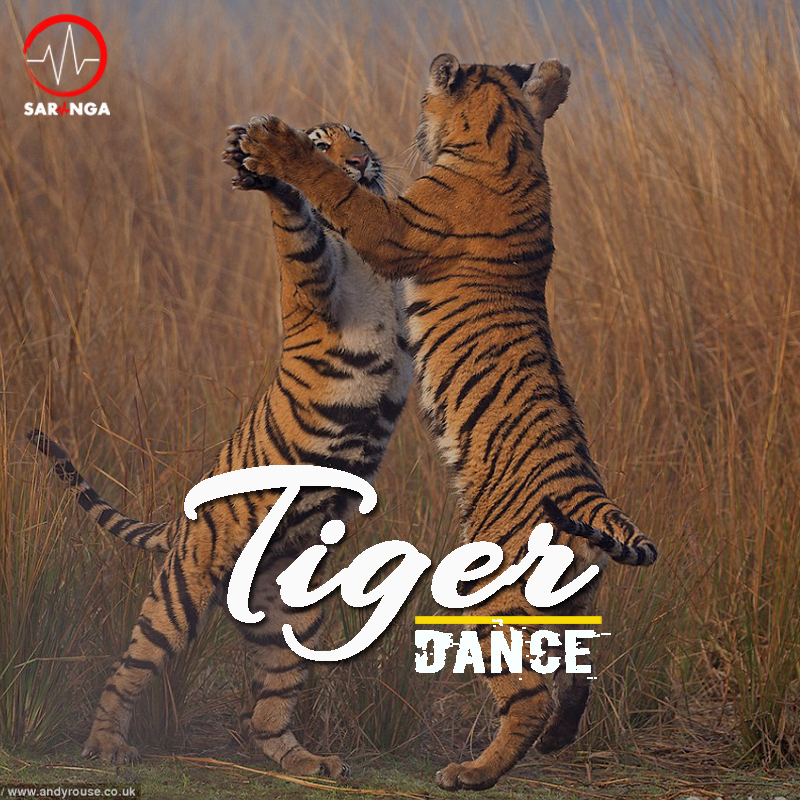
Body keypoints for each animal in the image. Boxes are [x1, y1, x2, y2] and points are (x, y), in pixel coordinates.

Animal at [28, 121, 412, 778]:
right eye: (321, 144)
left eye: (357, 137)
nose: (360, 162)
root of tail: (177, 525)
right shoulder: (314, 283)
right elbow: (297, 228)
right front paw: (266, 169)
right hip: (179, 593)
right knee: (127, 671)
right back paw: (107, 746)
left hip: (293, 613)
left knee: (271, 705)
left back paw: (304, 761)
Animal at [232, 56, 658, 791]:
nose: (381, 143)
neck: (512, 144)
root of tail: (588, 498)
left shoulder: (393, 227)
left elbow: (337, 192)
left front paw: (279, 146)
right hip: (570, 608)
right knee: (578, 674)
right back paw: (554, 743)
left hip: (491, 599)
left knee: (527, 696)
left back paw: (470, 773)